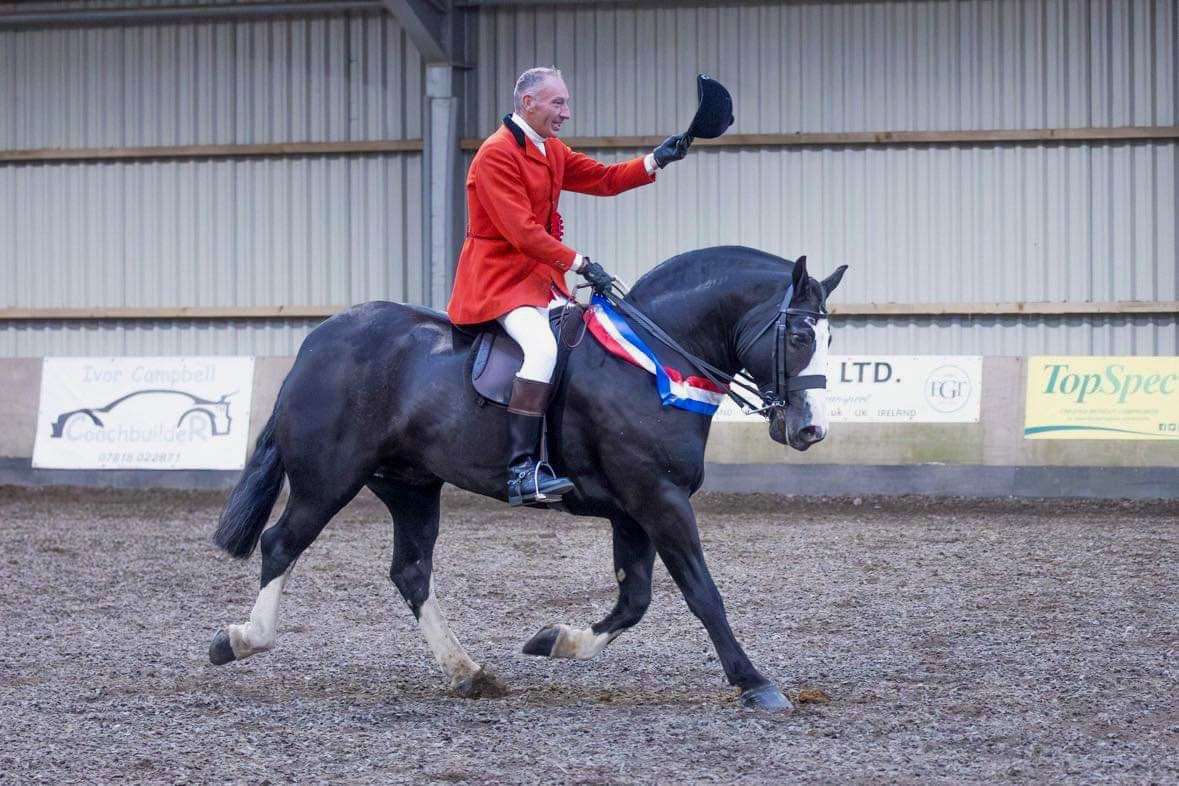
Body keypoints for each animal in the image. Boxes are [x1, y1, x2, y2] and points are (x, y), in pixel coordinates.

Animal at [209, 243, 848, 711]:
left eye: (828, 338)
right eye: (799, 336)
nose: (810, 429)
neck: (655, 359)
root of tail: (319, 339)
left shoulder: (635, 508)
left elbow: (635, 599)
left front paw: (553, 640)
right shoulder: (658, 498)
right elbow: (701, 593)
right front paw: (754, 682)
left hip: (410, 485)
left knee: (411, 572)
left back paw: (469, 673)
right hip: (329, 479)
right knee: (281, 543)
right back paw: (239, 641)